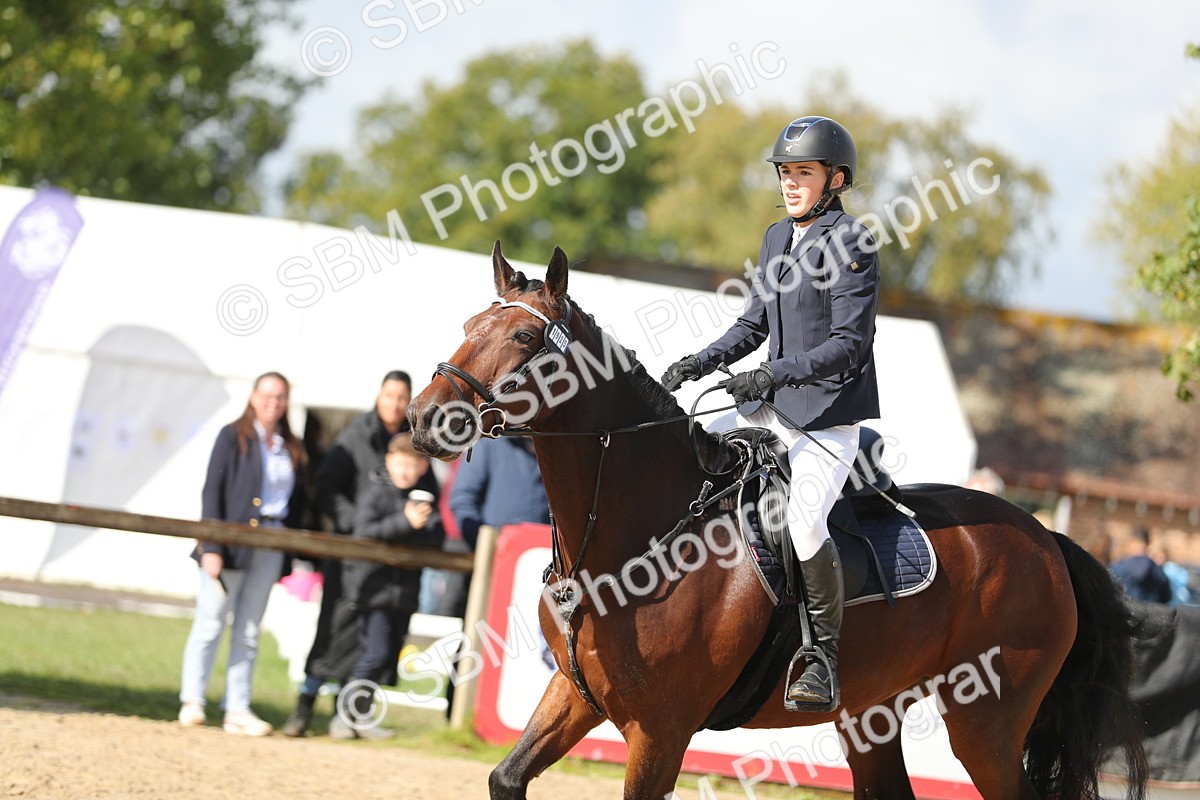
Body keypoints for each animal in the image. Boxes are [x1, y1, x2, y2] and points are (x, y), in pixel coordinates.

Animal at [408, 242, 1149, 800]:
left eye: (525, 336)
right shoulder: (576, 693)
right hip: (873, 713)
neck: (636, 539)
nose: (422, 418)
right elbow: (507, 777)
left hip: (986, 722)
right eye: (470, 326)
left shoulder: (661, 730)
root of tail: (1046, 540)